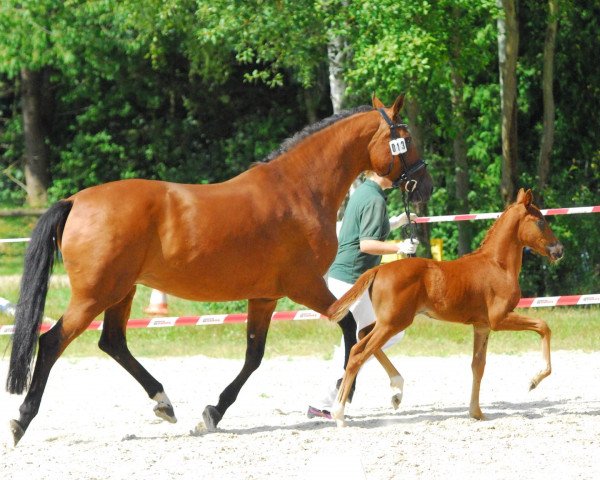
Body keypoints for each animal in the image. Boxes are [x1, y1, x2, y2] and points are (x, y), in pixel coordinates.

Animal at [7, 94, 434, 446]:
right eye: (406, 138)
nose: (425, 185)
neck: (299, 191)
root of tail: (75, 201)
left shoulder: (265, 296)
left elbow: (254, 356)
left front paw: (212, 412)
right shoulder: (305, 285)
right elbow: (350, 329)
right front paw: (349, 394)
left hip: (121, 291)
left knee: (112, 342)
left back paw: (164, 403)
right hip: (94, 295)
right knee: (52, 342)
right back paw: (20, 421)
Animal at [324, 188, 564, 428]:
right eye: (540, 221)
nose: (559, 250)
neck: (498, 265)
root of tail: (378, 270)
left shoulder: (482, 326)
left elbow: (478, 366)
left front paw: (476, 412)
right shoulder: (499, 319)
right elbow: (543, 326)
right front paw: (535, 380)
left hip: (387, 322)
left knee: (362, 337)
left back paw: (396, 391)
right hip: (393, 323)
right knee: (358, 352)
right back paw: (339, 414)